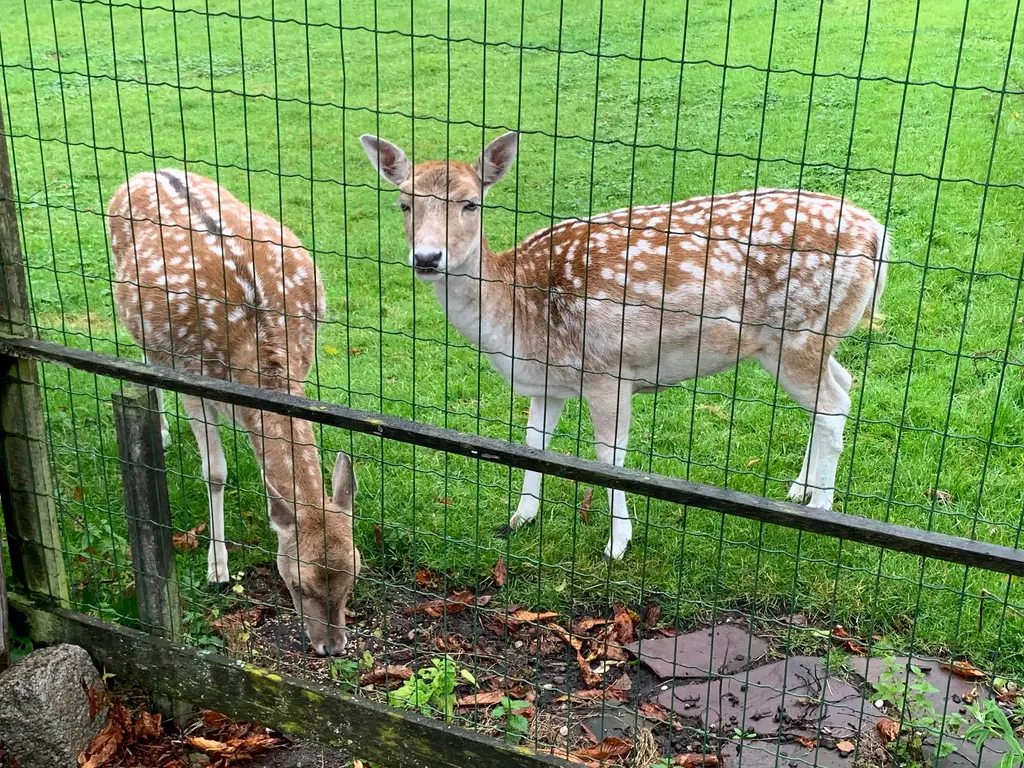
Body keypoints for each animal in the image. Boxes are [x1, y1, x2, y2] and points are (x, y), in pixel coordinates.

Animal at [108, 169, 360, 655]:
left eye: (355, 574)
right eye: (299, 584)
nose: (332, 647)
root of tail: (147, 172)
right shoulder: (191, 376)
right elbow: (215, 473)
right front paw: (218, 570)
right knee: (146, 364)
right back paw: (159, 431)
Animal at [360, 132, 888, 561]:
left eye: (472, 203)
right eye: (403, 204)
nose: (428, 257)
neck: (517, 317)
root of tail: (880, 234)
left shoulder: (608, 372)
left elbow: (608, 458)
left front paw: (617, 543)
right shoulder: (547, 384)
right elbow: (533, 443)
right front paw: (520, 518)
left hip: (800, 335)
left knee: (833, 403)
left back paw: (821, 508)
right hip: (808, 340)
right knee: (843, 385)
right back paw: (799, 490)